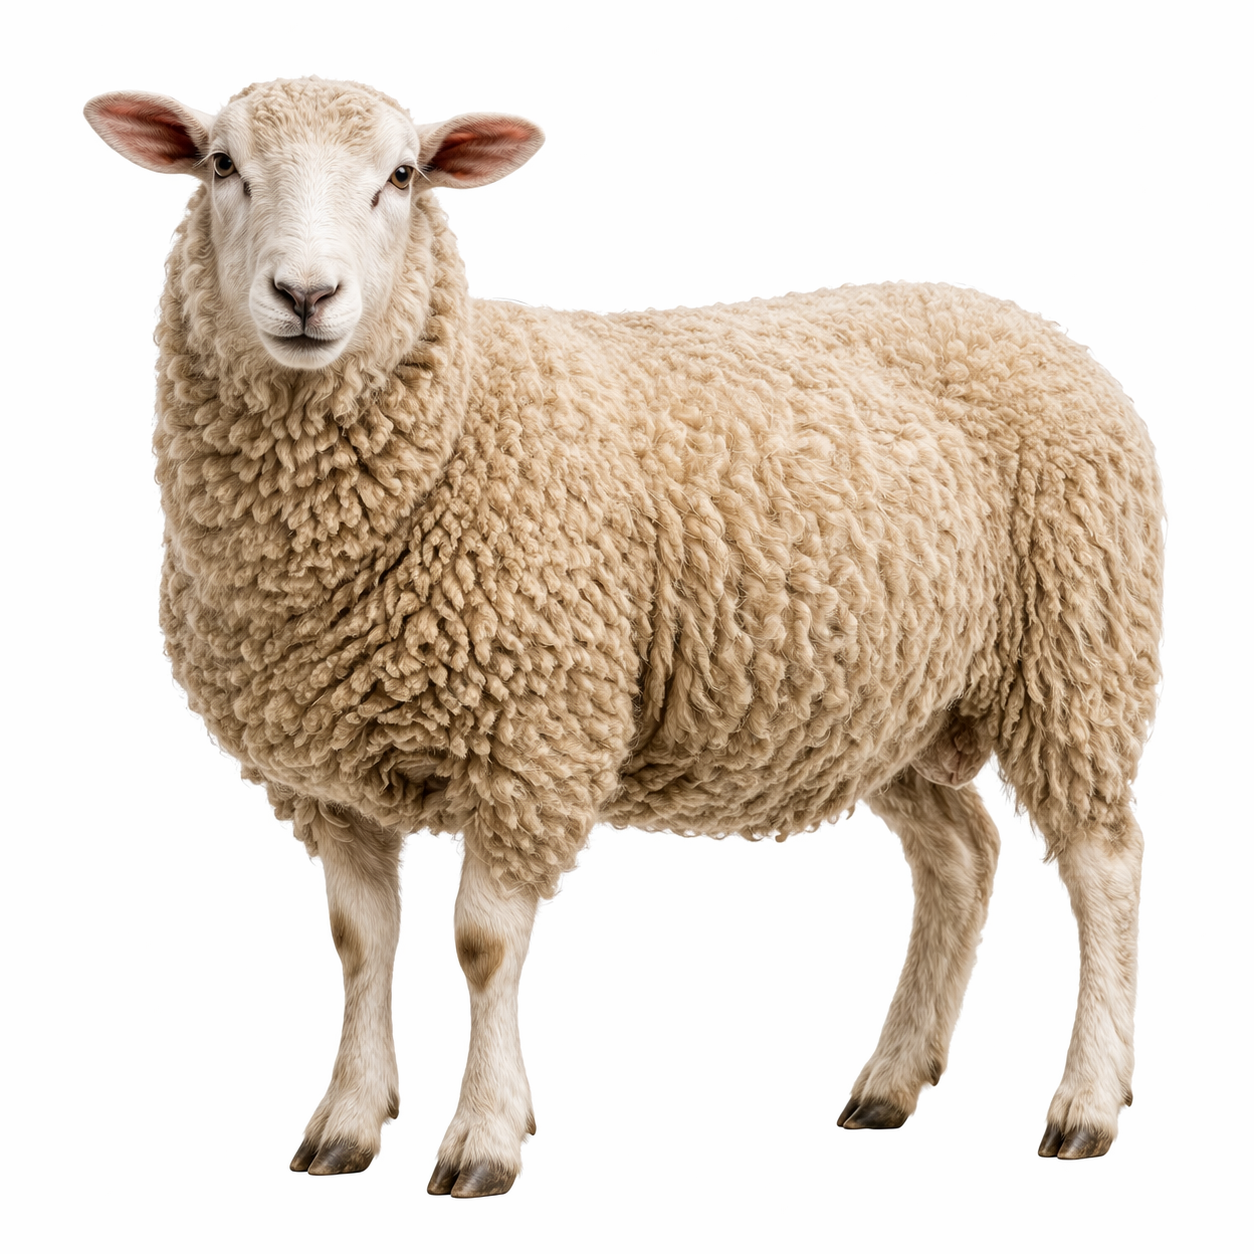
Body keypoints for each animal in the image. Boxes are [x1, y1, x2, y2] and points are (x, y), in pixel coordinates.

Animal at [84, 77, 1163, 1196]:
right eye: (220, 165)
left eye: (403, 175)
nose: (306, 294)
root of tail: (1035, 325)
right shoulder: (325, 776)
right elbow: (358, 942)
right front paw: (346, 1121)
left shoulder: (534, 738)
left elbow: (481, 945)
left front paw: (484, 1138)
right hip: (889, 703)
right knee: (959, 857)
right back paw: (892, 1080)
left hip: (1078, 651)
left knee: (1105, 864)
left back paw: (1087, 1101)